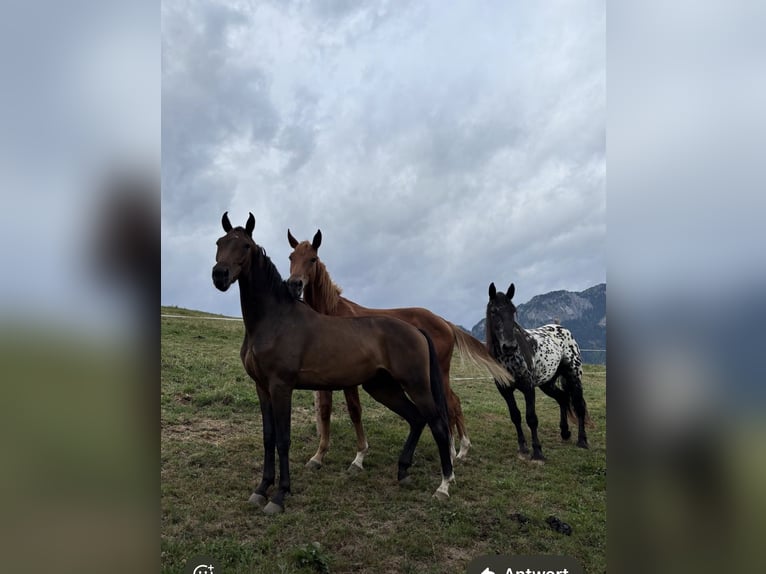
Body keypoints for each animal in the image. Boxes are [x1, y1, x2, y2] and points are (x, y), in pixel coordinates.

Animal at [212, 212, 455, 513]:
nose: (219, 275)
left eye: (245, 246)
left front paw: (279, 496)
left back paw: (444, 486)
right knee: (417, 419)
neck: (275, 319)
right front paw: (261, 490)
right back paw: (403, 472)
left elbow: (283, 440)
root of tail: (417, 330)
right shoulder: (262, 388)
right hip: (383, 387)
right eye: (220, 242)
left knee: (438, 424)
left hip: (417, 386)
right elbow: (268, 439)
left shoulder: (281, 387)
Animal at [286, 229, 513, 469]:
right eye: (291, 257)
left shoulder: (350, 379)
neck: (332, 313)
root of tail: (444, 322)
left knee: (451, 404)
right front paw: (318, 456)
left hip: (438, 374)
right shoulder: (325, 378)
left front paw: (359, 457)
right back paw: (458, 450)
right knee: (453, 403)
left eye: (313, 259)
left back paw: (455, 451)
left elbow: (355, 411)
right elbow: (324, 411)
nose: (294, 284)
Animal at [485, 282, 590, 461]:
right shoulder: (505, 390)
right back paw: (565, 432)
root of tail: (562, 329)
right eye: (494, 311)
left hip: (574, 376)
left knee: (578, 405)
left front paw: (537, 452)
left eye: (513, 311)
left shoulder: (528, 387)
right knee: (563, 398)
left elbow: (531, 418)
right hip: (547, 383)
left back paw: (582, 441)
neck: (508, 359)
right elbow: (515, 415)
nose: (510, 346)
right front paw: (522, 447)